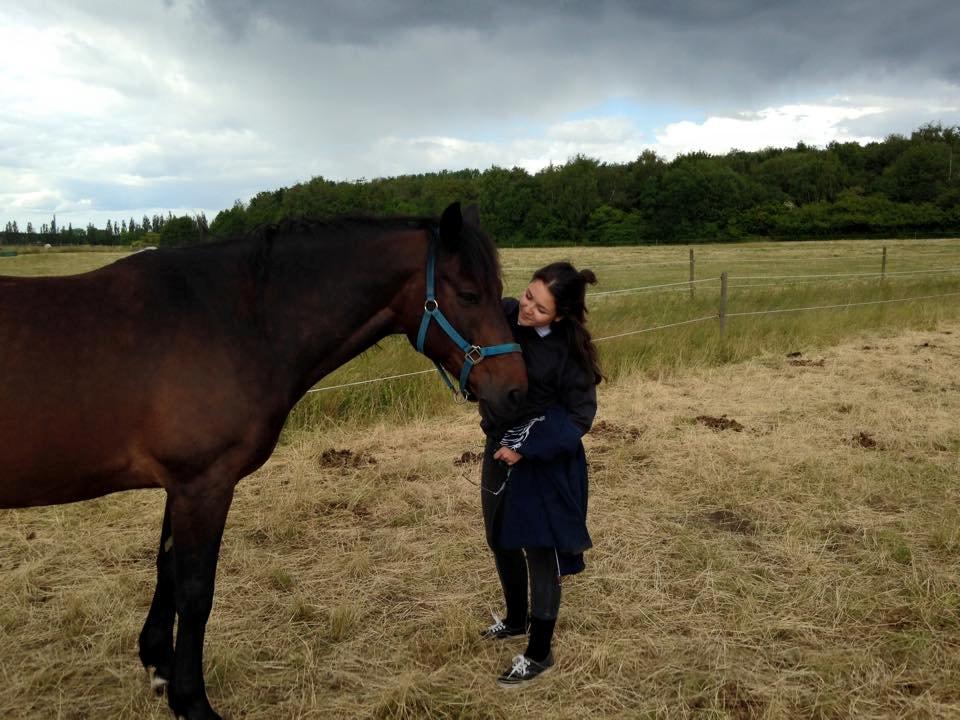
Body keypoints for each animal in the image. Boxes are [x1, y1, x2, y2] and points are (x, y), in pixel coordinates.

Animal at [0, 201, 524, 720]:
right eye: (470, 294)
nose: (516, 392)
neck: (237, 321)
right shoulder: (203, 484)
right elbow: (195, 592)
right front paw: (192, 702)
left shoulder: (181, 486)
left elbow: (166, 572)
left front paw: (159, 668)